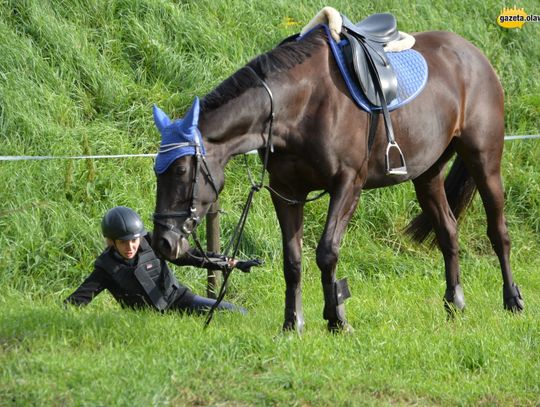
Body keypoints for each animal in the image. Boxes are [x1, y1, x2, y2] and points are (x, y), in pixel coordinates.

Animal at [151, 25, 524, 334]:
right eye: (157, 170)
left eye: (181, 170)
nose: (163, 243)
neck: (300, 105)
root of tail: (473, 54)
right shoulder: (286, 192)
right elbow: (293, 260)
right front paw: (293, 324)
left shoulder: (347, 186)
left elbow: (327, 252)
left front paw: (336, 320)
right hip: (427, 174)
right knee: (448, 232)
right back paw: (454, 304)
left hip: (484, 162)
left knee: (498, 232)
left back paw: (512, 300)